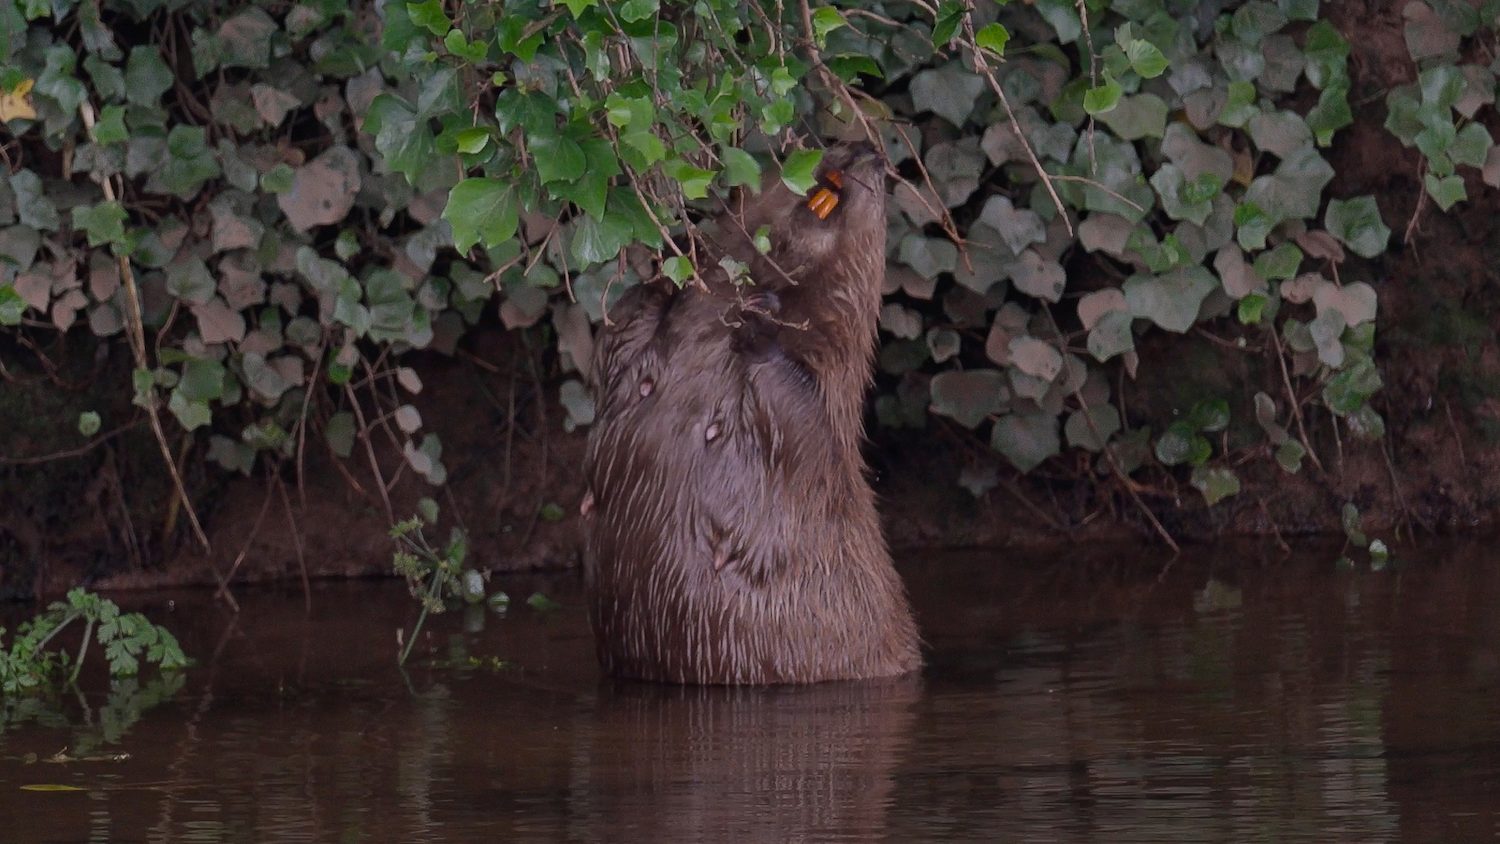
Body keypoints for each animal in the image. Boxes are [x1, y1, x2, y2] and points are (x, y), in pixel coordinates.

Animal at [579, 143, 918, 686]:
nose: (865, 149)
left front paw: (760, 317)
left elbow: (817, 437)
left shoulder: (838, 361)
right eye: (821, 143)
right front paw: (665, 274)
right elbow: (616, 340)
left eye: (886, 187)